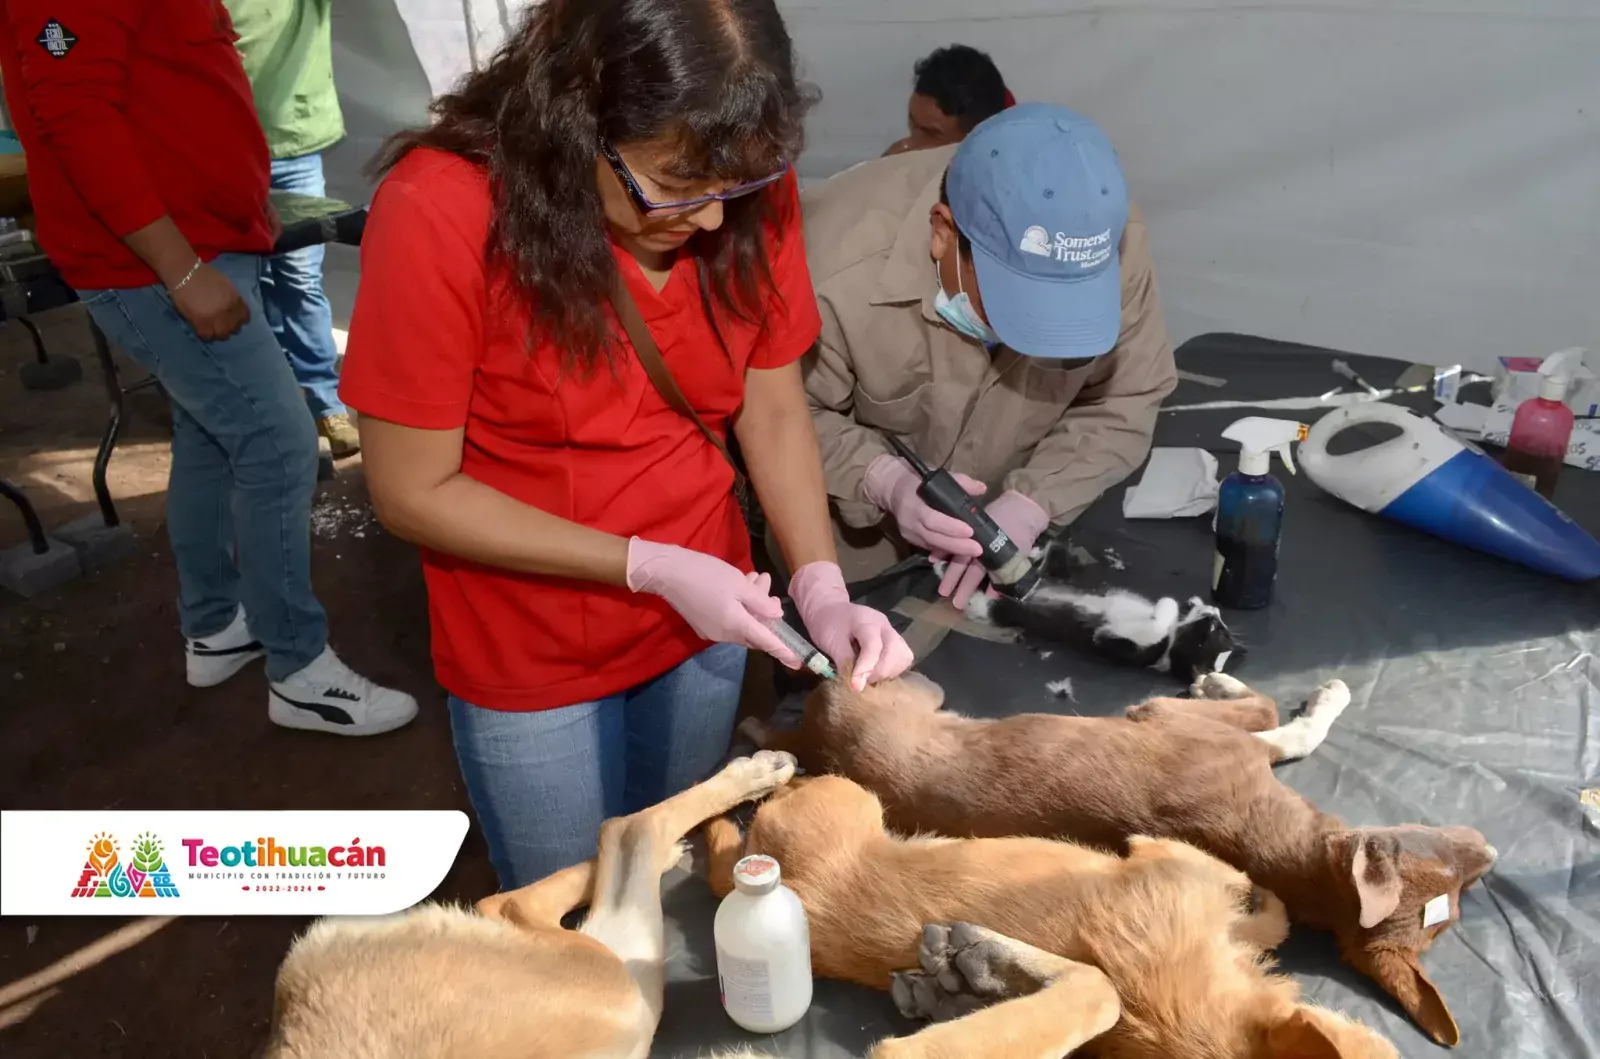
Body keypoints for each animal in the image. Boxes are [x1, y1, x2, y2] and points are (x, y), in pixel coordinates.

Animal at [745, 671, 1497, 1043]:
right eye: (1448, 860)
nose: (1492, 846)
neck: (1281, 852)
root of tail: (808, 737)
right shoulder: (1177, 718)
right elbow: (1272, 713)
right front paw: (1251, 685)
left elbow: (1283, 723)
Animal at [940, 543, 1241, 684]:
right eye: (1218, 628)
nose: (1214, 611)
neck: (1169, 646)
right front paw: (1193, 602)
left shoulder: (1117, 644)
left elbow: (1158, 623)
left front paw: (1171, 604)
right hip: (1051, 574)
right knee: (1052, 557)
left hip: (1022, 611)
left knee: (1001, 608)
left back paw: (972, 598)